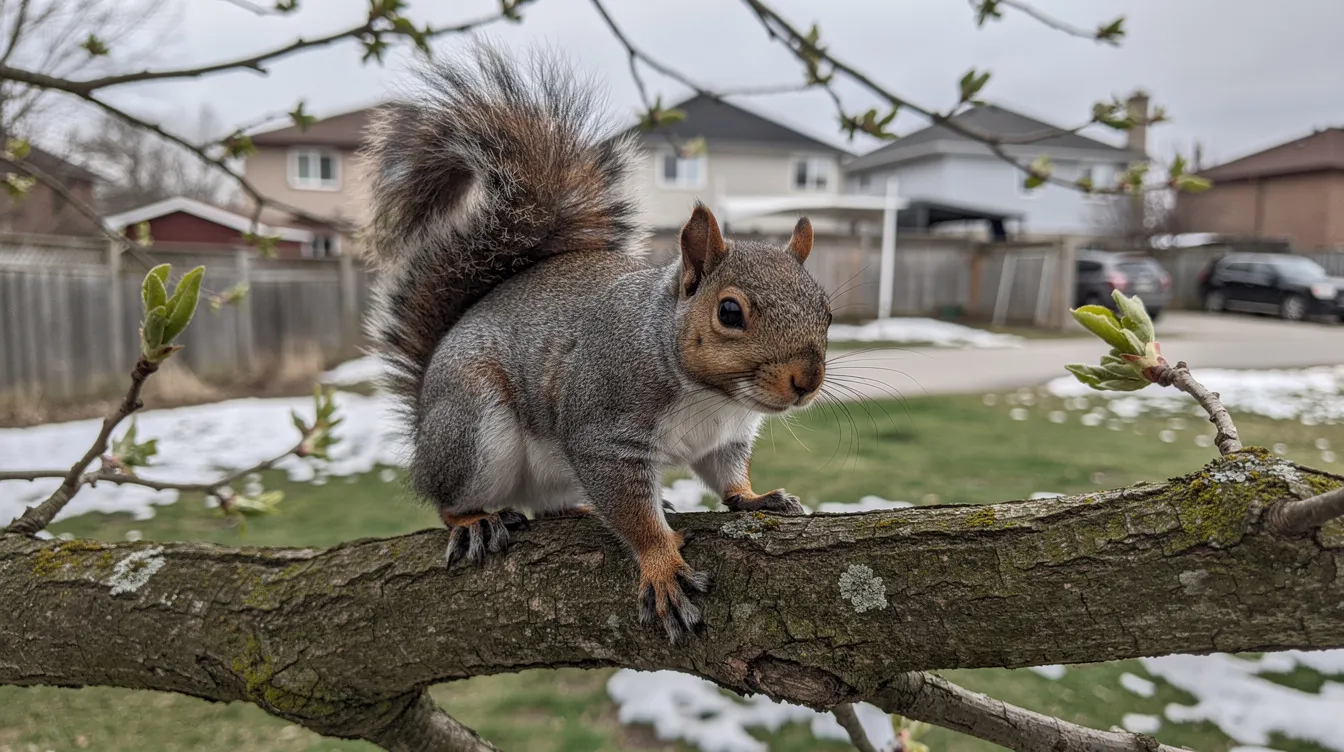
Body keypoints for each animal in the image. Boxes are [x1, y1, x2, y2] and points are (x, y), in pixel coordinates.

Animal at [360, 42, 831, 643]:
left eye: (827, 311)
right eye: (730, 312)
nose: (807, 380)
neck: (713, 397)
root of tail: (423, 416)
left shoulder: (723, 439)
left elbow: (727, 476)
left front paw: (756, 498)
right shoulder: (602, 429)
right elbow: (633, 513)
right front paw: (662, 566)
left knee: (549, 506)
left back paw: (577, 511)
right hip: (472, 428)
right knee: (447, 494)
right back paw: (474, 520)